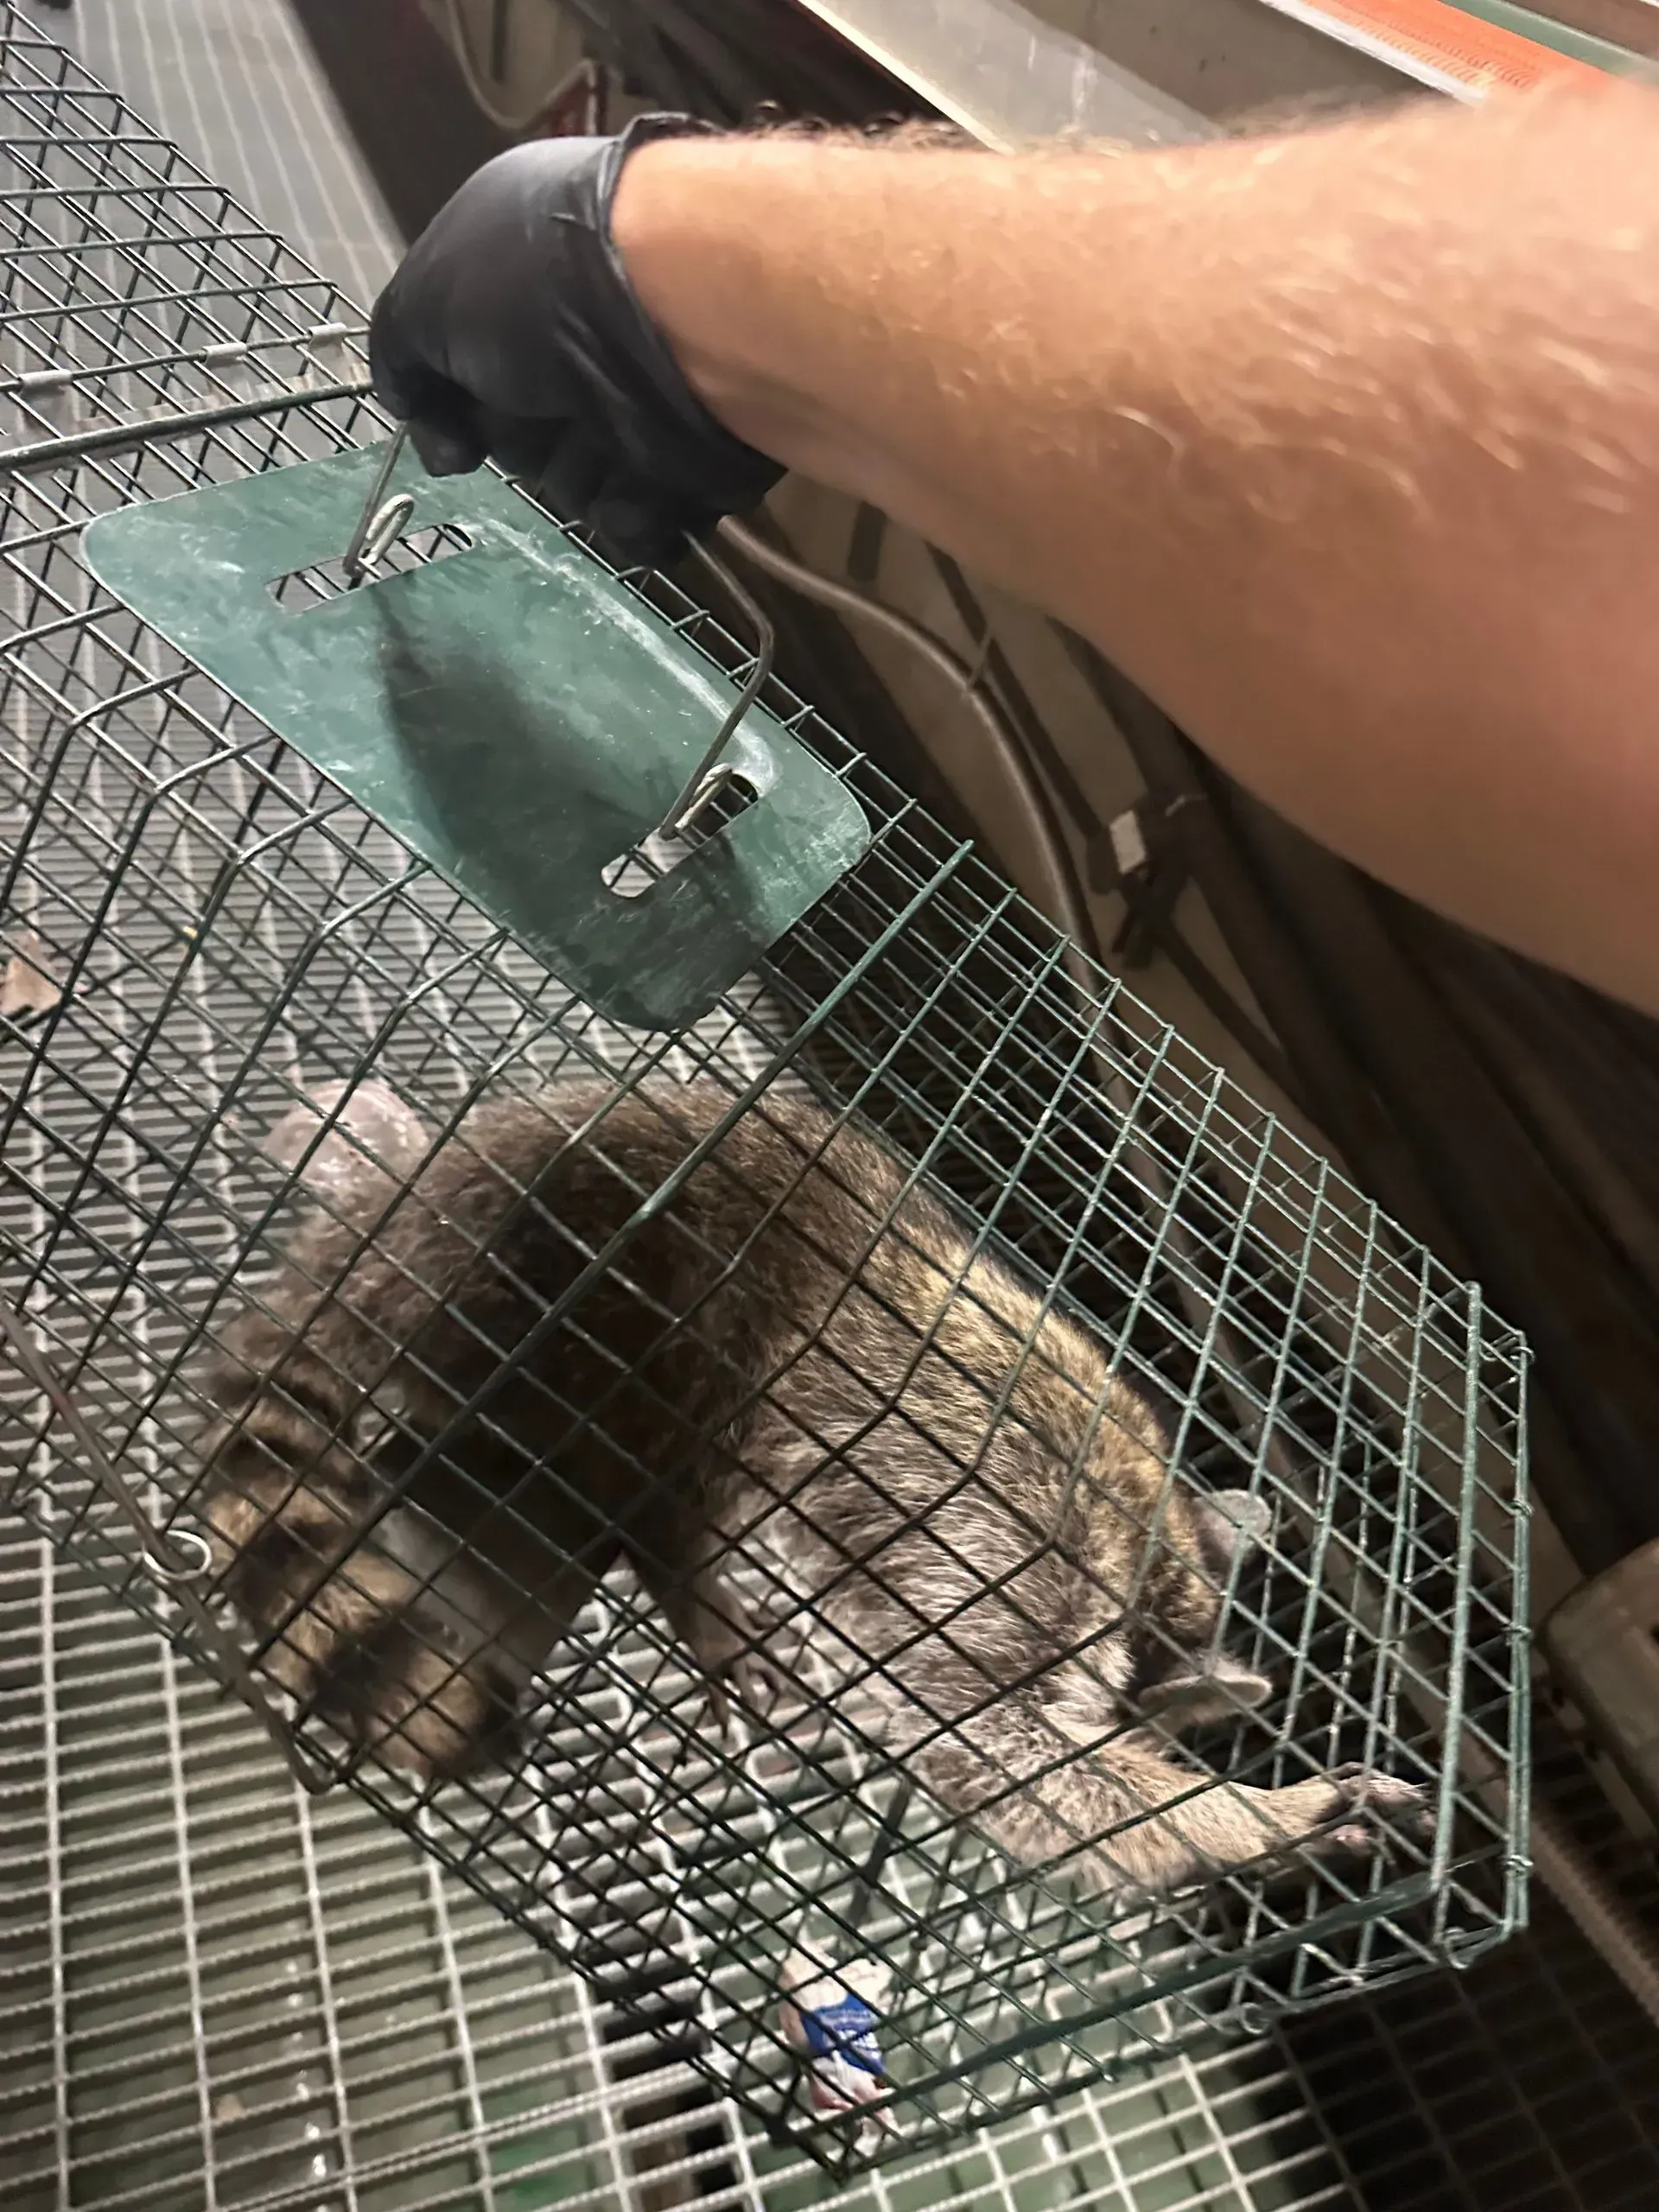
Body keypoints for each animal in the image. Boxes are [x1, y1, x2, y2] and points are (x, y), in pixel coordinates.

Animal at [196, 1076, 1428, 1897]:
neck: (1153, 1555)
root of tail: (425, 1203)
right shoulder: (1028, 1561)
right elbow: (988, 1743)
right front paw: (1253, 1818)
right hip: (611, 1299)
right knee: (647, 1456)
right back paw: (672, 1561)